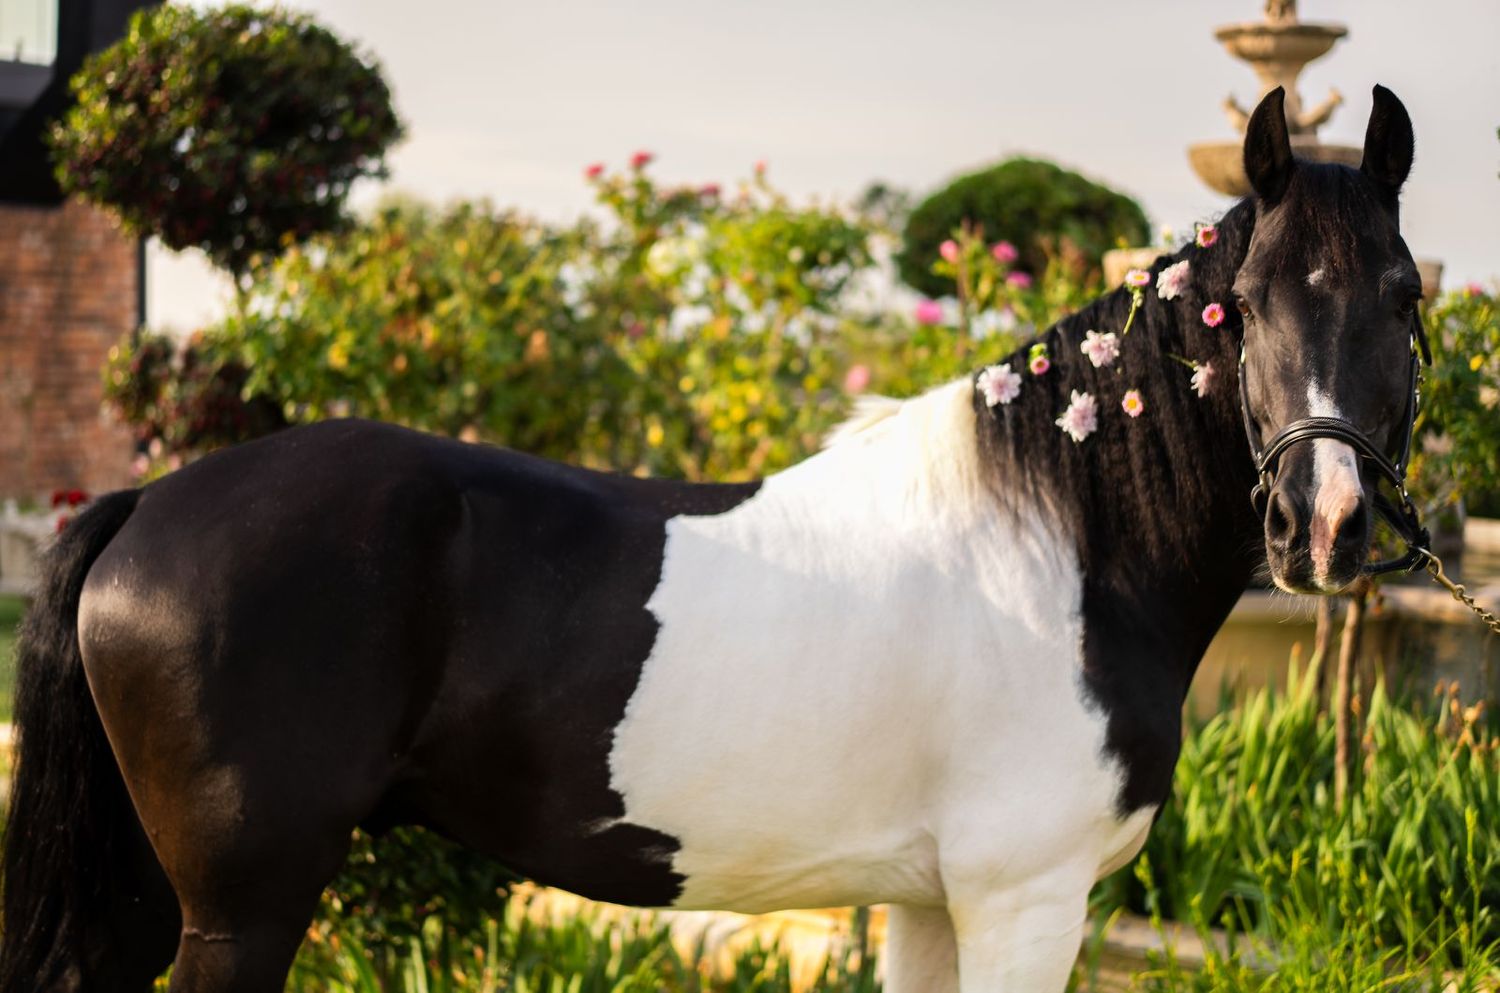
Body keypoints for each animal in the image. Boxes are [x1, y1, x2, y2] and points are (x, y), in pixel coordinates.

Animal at [0, 84, 1424, 992]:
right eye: (1245, 302)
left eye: (1407, 296)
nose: (1326, 524)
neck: (1061, 553)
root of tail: (151, 504)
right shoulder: (1023, 900)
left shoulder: (933, 903)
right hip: (241, 909)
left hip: (148, 897)